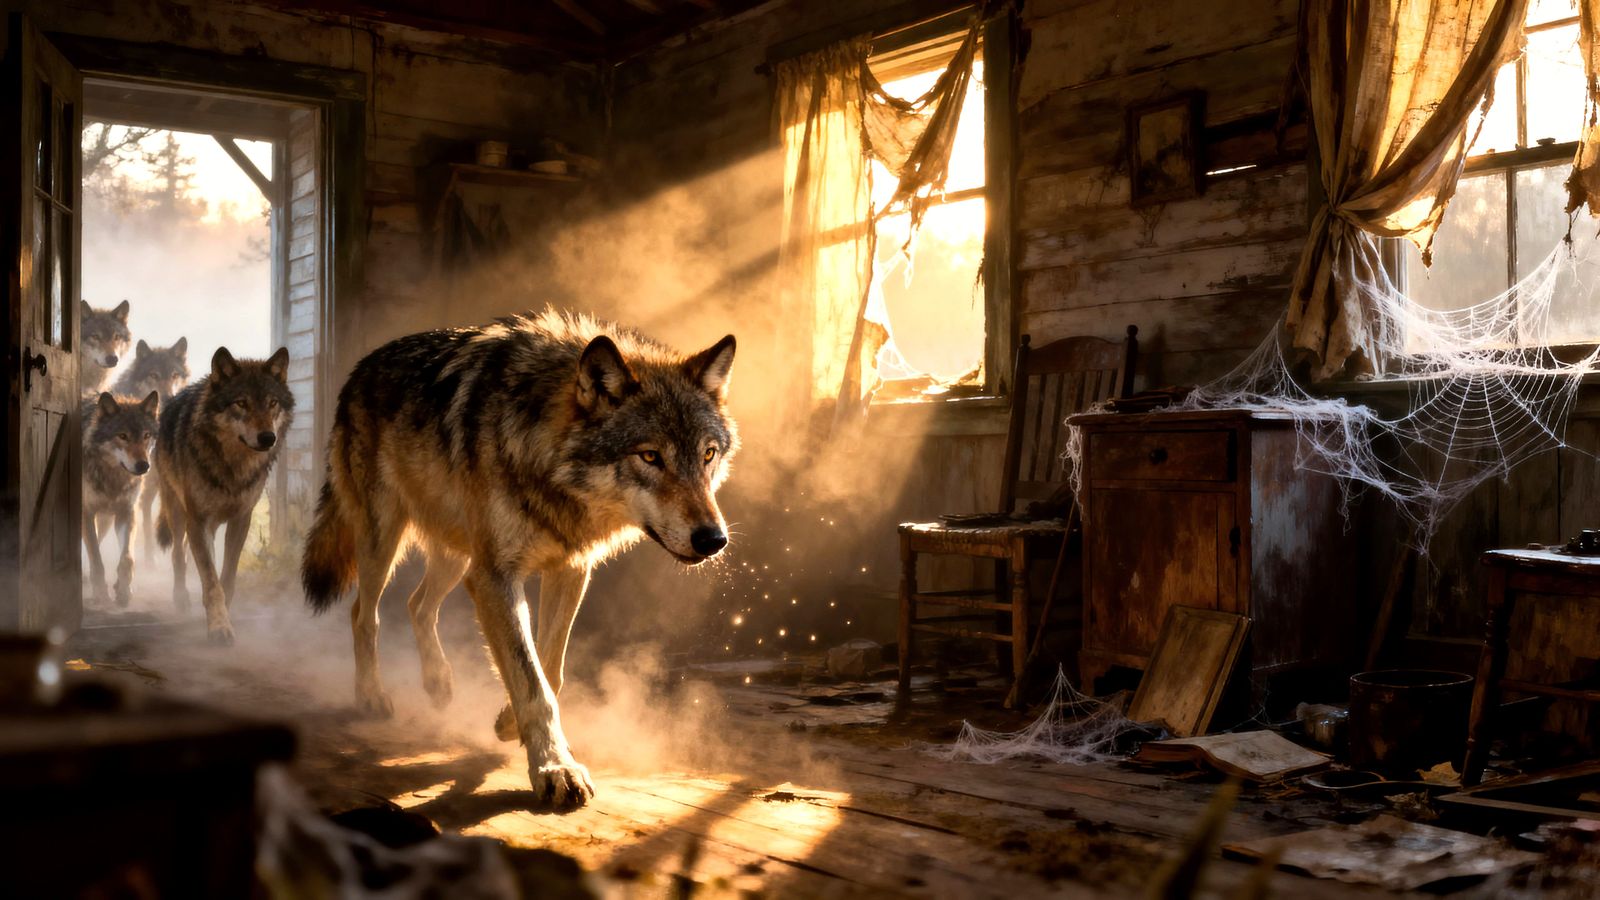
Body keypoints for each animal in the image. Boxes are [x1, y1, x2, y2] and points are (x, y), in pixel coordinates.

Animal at [81, 391, 159, 606]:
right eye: (122, 436)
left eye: (146, 436)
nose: (143, 466)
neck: (112, 475)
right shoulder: (86, 513)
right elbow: (96, 559)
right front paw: (101, 593)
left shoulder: (126, 512)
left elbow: (127, 559)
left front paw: (124, 591)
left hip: (107, 519)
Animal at [155, 346, 293, 644]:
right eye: (241, 403)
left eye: (272, 403)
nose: (268, 438)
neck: (233, 467)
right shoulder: (199, 520)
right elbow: (211, 581)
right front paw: (218, 627)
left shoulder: (241, 519)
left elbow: (226, 579)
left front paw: (222, 617)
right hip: (177, 511)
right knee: (178, 554)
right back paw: (181, 598)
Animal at [301, 310, 737, 809]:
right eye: (650, 456)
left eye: (708, 454)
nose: (713, 539)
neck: (542, 455)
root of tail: (359, 368)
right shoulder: (495, 577)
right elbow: (533, 681)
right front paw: (554, 768)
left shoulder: (570, 569)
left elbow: (550, 669)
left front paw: (509, 722)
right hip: (385, 539)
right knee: (363, 613)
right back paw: (372, 696)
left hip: (457, 558)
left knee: (417, 605)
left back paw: (438, 682)